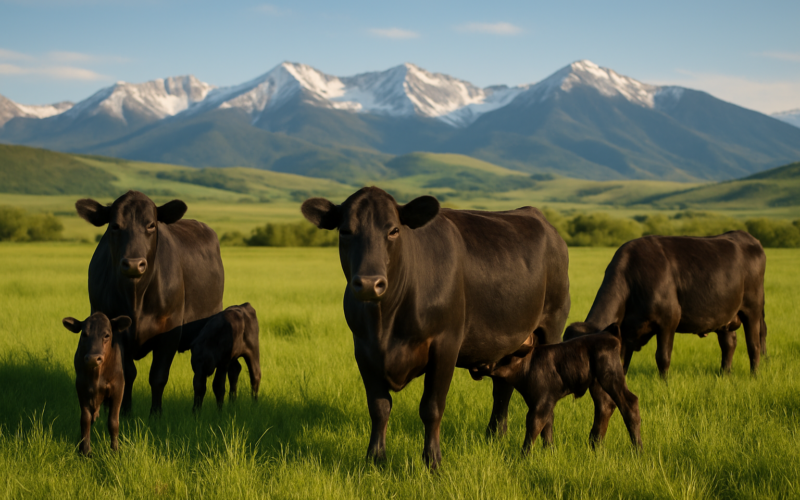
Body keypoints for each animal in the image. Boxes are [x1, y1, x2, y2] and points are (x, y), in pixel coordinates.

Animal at [62, 312, 131, 456]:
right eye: (84, 334)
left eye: (107, 335)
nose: (93, 358)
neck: (97, 375)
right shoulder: (81, 387)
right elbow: (85, 419)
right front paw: (85, 450)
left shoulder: (118, 388)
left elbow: (113, 421)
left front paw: (115, 450)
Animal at [76, 191, 225, 415]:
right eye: (115, 225)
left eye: (151, 225)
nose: (133, 264)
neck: (136, 298)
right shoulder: (116, 332)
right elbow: (127, 373)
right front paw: (125, 412)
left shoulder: (170, 331)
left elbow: (158, 376)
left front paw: (156, 415)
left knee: (201, 375)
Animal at [301, 187, 570, 469]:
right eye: (345, 231)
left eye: (394, 230)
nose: (368, 283)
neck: (385, 323)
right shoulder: (363, 350)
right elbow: (378, 407)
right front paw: (375, 459)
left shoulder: (446, 344)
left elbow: (431, 408)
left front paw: (433, 462)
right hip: (509, 342)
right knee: (502, 389)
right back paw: (494, 438)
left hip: (552, 325)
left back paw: (549, 447)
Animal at [483, 324, 641, 453]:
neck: (528, 365)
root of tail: (609, 334)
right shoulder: (540, 404)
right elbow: (546, 427)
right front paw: (549, 452)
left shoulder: (542, 403)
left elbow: (533, 427)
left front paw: (524, 457)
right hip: (598, 384)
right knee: (605, 406)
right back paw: (595, 446)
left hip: (611, 377)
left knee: (629, 403)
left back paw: (637, 450)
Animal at [563, 231, 767, 378]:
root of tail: (747, 237)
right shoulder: (625, 333)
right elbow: (622, 363)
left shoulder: (669, 320)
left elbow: (662, 357)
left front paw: (665, 383)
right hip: (725, 315)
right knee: (728, 344)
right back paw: (724, 374)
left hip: (753, 309)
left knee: (754, 345)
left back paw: (754, 376)